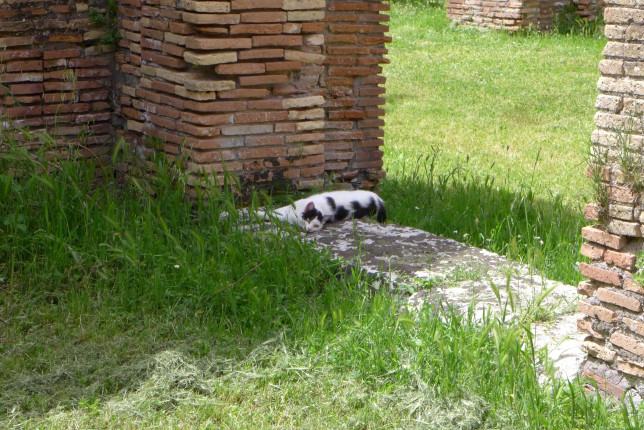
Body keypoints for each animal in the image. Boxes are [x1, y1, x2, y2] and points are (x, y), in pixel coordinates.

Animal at [258, 191, 388, 233]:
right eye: (308, 219)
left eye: (316, 226)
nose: (309, 229)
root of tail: (380, 200)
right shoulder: (289, 209)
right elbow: (273, 211)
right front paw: (257, 212)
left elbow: (274, 215)